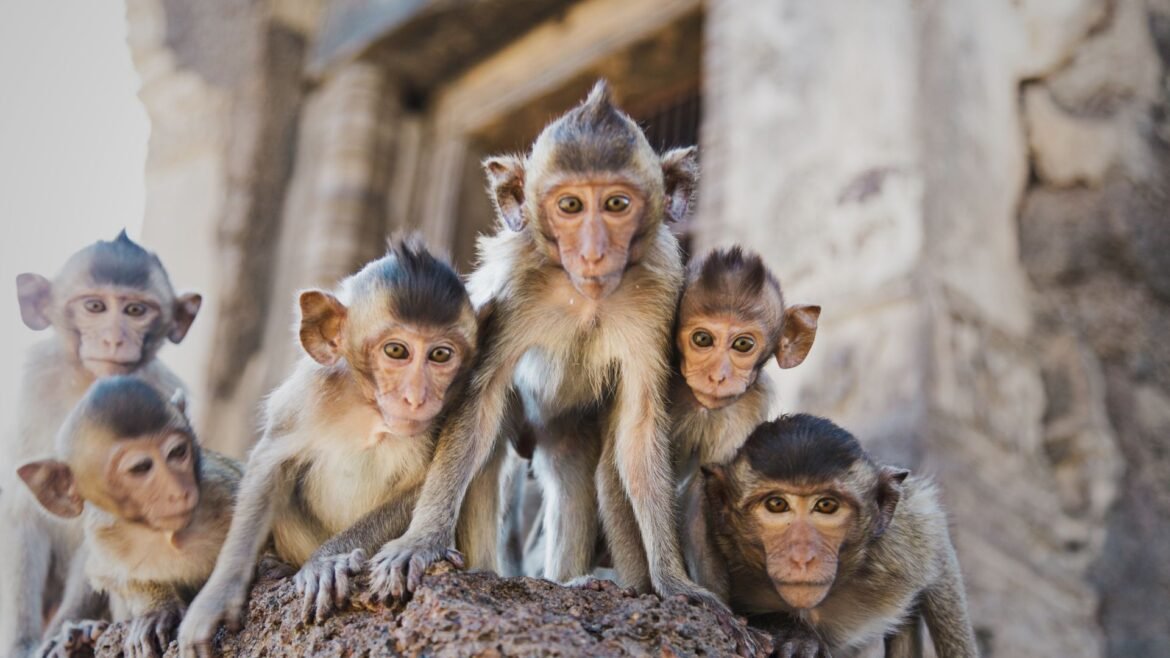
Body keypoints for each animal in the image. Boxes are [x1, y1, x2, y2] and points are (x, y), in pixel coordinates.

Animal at [0, 231, 202, 657]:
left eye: (135, 310)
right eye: (94, 306)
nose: (113, 338)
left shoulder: (162, 392)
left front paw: (66, 631)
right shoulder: (37, 384)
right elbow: (22, 512)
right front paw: (24, 643)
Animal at [17, 376, 241, 658]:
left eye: (177, 452)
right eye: (141, 468)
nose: (179, 492)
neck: (165, 535)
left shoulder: (222, 489)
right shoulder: (103, 532)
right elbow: (109, 575)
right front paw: (157, 609)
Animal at [177, 239, 478, 658]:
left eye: (440, 355)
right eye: (397, 351)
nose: (416, 398)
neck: (370, 413)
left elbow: (422, 485)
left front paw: (325, 562)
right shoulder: (309, 393)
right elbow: (270, 464)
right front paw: (216, 598)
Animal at [365, 81, 765, 655]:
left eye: (616, 204)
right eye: (571, 205)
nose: (594, 252)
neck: (588, 296)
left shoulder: (656, 299)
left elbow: (640, 431)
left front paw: (675, 583)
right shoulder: (516, 288)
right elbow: (479, 404)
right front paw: (420, 543)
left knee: (578, 472)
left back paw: (576, 579)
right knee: (489, 456)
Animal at [700, 414, 979, 657]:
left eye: (826, 505)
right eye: (777, 504)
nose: (802, 557)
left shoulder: (906, 542)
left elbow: (941, 560)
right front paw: (791, 633)